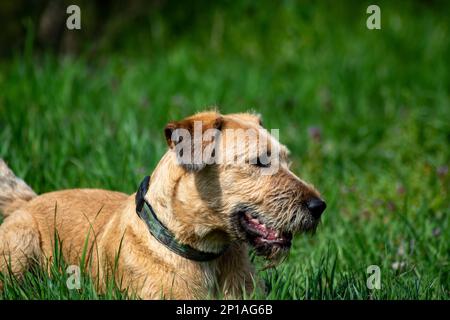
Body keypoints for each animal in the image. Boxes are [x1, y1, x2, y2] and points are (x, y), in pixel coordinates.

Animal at [0, 111, 326, 298]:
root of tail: (29, 201)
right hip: (19, 246)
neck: (205, 255)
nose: (319, 206)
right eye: (259, 161)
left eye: (286, 159)